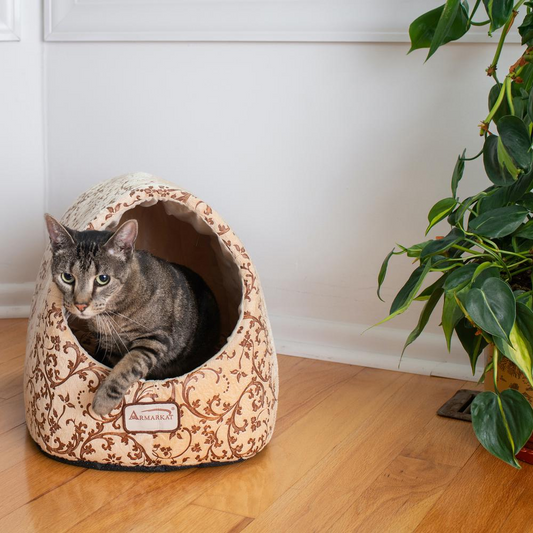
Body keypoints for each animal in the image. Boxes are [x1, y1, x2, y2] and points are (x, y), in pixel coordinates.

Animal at [44, 212, 220, 416]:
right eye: (67, 277)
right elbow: (113, 364)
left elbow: (129, 365)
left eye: (103, 279)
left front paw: (103, 402)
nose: (80, 305)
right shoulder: (108, 345)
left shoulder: (156, 338)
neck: (115, 312)